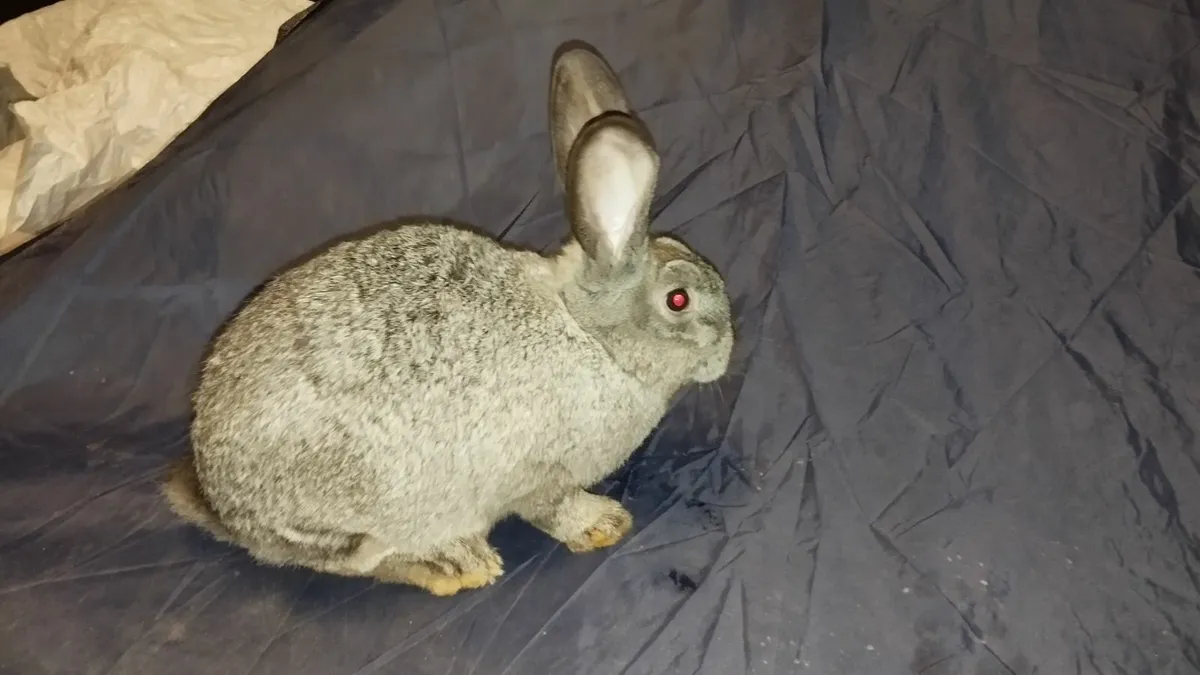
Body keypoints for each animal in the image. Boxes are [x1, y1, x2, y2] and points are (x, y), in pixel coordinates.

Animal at [162, 40, 735, 597]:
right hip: (357, 518)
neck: (591, 336)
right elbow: (553, 509)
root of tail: (227, 508)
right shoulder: (537, 476)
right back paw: (457, 565)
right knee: (365, 560)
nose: (727, 351)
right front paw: (604, 525)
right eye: (678, 300)